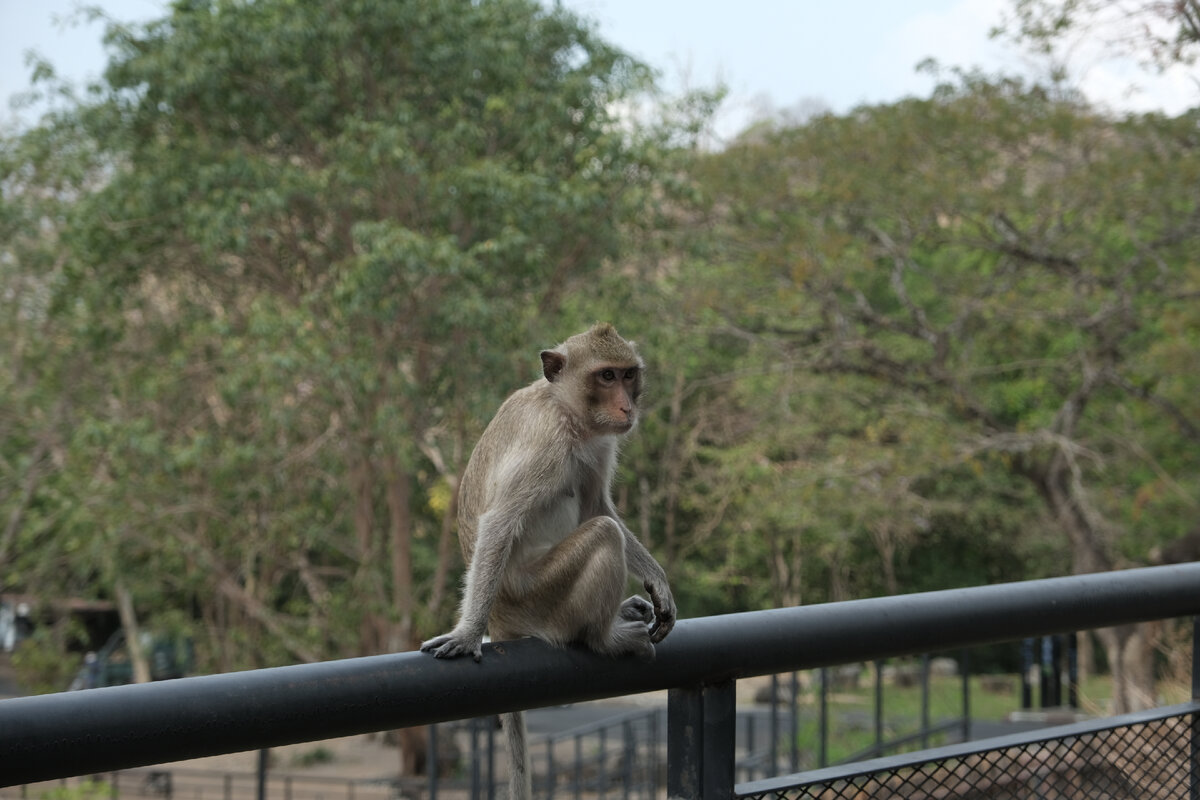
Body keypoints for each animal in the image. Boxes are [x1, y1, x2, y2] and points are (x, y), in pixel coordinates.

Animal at [424, 321, 676, 796]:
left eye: (628, 375)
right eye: (606, 376)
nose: (626, 406)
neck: (566, 411)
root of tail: (504, 619)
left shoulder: (599, 443)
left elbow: (595, 504)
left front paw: (657, 580)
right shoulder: (545, 445)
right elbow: (501, 521)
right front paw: (467, 634)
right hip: (538, 596)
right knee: (602, 536)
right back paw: (605, 638)